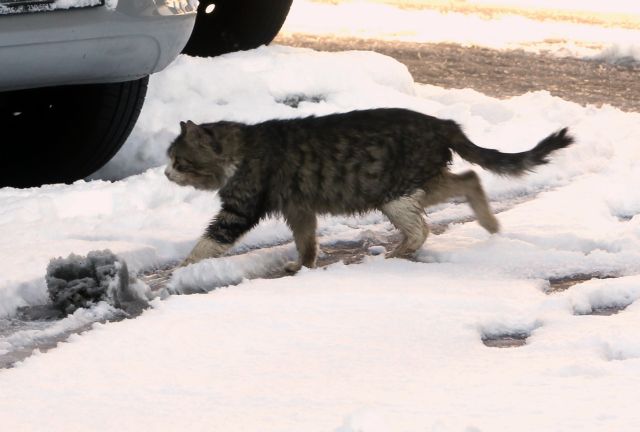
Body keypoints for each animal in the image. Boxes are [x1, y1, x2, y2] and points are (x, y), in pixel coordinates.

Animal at [166, 107, 576, 270]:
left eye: (178, 161)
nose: (167, 174)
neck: (242, 147)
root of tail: (442, 123)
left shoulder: (240, 208)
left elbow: (208, 242)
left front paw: (182, 271)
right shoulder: (300, 207)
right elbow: (306, 242)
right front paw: (302, 267)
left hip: (396, 194)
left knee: (422, 229)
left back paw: (396, 255)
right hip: (420, 183)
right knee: (470, 179)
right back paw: (490, 225)